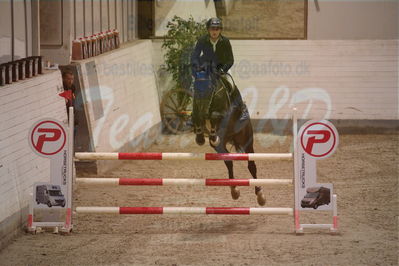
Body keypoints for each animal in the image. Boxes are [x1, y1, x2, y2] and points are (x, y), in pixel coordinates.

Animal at [193, 71, 268, 207]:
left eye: (210, 88)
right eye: (196, 89)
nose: (203, 111)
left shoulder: (223, 114)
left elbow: (215, 116)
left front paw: (212, 133)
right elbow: (195, 117)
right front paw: (200, 137)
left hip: (247, 140)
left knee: (251, 165)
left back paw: (260, 194)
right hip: (221, 146)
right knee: (228, 161)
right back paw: (234, 190)